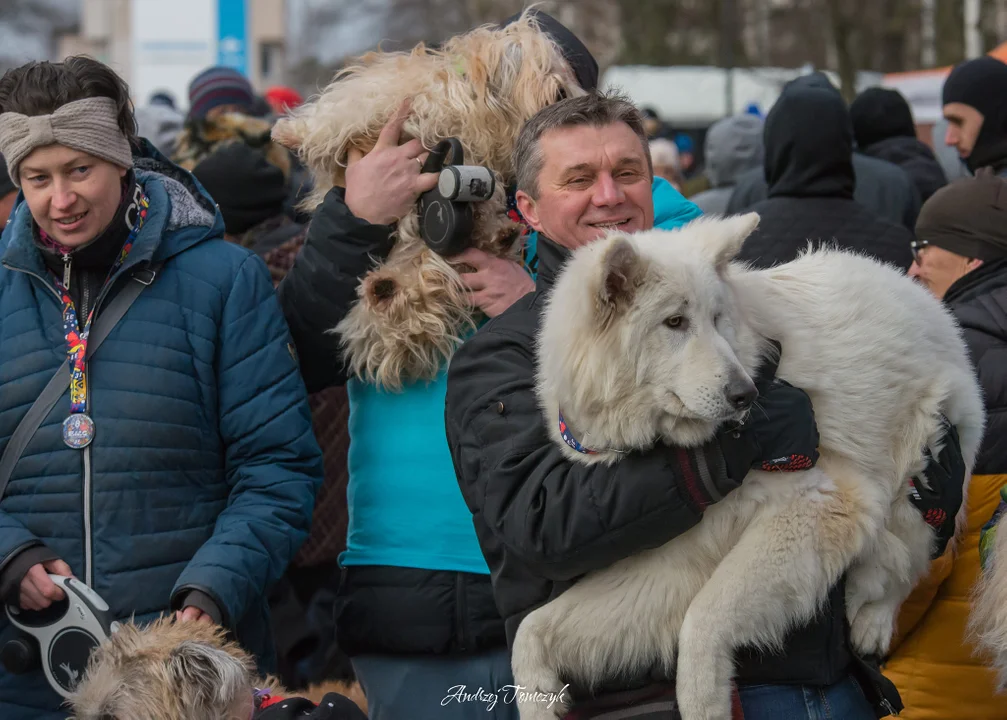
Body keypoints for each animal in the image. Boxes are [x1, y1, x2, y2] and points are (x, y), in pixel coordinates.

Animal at [271, 9, 588, 388]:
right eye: (546, 68)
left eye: (566, 72)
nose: (571, 94)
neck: (471, 104)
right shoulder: (383, 101)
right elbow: (339, 117)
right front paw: (289, 133)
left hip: (427, 263)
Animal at [515, 214, 986, 720]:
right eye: (675, 322)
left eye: (717, 319)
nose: (747, 395)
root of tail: (918, 292)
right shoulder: (678, 555)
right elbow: (529, 630)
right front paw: (538, 700)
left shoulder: (824, 501)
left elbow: (703, 619)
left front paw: (705, 702)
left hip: (918, 463)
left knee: (907, 558)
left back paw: (871, 618)